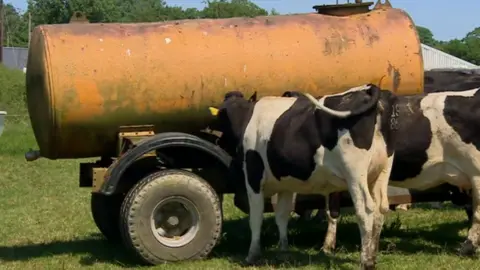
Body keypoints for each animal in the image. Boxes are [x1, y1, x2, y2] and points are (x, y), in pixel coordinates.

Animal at [209, 84, 398, 268]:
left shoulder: (253, 178)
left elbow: (256, 217)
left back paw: (366, 261)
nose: (219, 140)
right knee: (381, 208)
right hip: (381, 172)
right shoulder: (285, 184)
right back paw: (373, 256)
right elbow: (282, 215)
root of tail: (367, 89)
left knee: (365, 210)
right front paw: (283, 250)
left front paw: (252, 255)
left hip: (355, 174)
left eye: (222, 119)